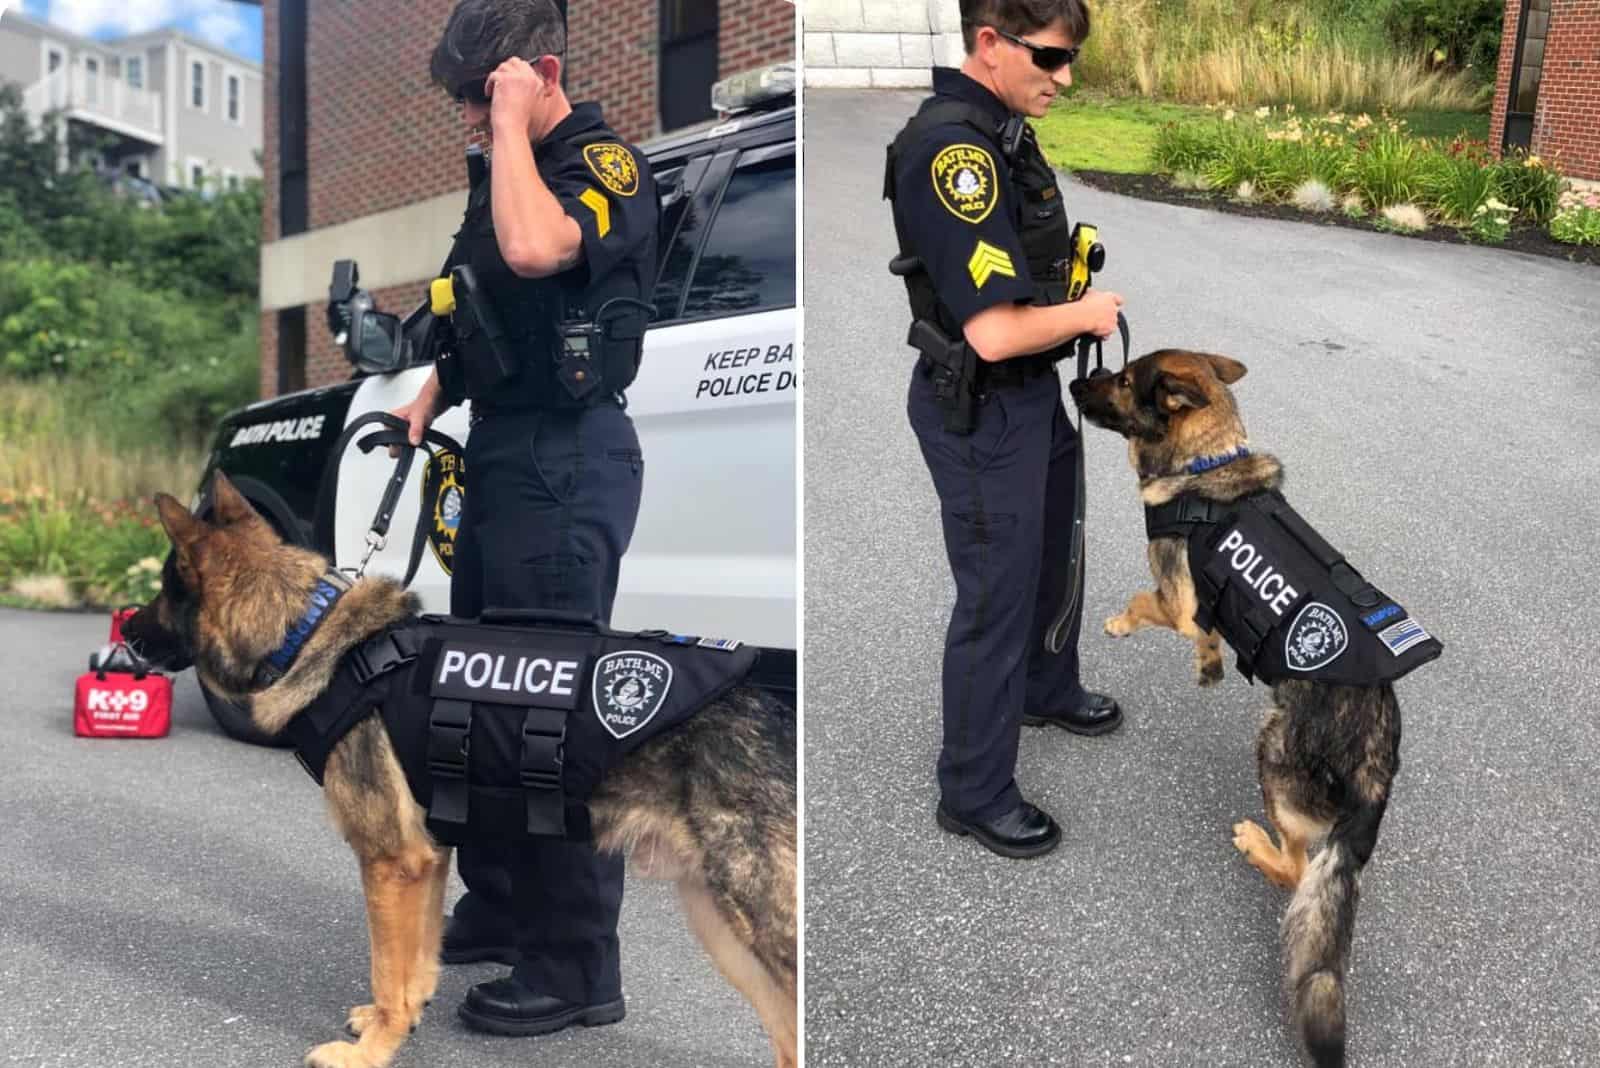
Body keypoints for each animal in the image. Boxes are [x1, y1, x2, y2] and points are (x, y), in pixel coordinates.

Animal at [121, 473, 796, 1068]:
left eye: (165, 591)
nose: (125, 628)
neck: (301, 630)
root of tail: (777, 719)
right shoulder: (425, 858)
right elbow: (415, 963)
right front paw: (396, 1021)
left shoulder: (391, 860)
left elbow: (387, 966)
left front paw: (371, 1052)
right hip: (719, 925)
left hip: (755, 924)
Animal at [1075, 354, 1401, 1068]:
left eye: (1123, 380)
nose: (1076, 379)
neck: (1204, 465)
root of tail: (1374, 772)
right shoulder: (1197, 612)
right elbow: (1204, 636)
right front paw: (1208, 662)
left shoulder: (1174, 599)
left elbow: (1142, 600)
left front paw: (1118, 623)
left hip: (1273, 748)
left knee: (1294, 872)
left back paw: (1256, 843)